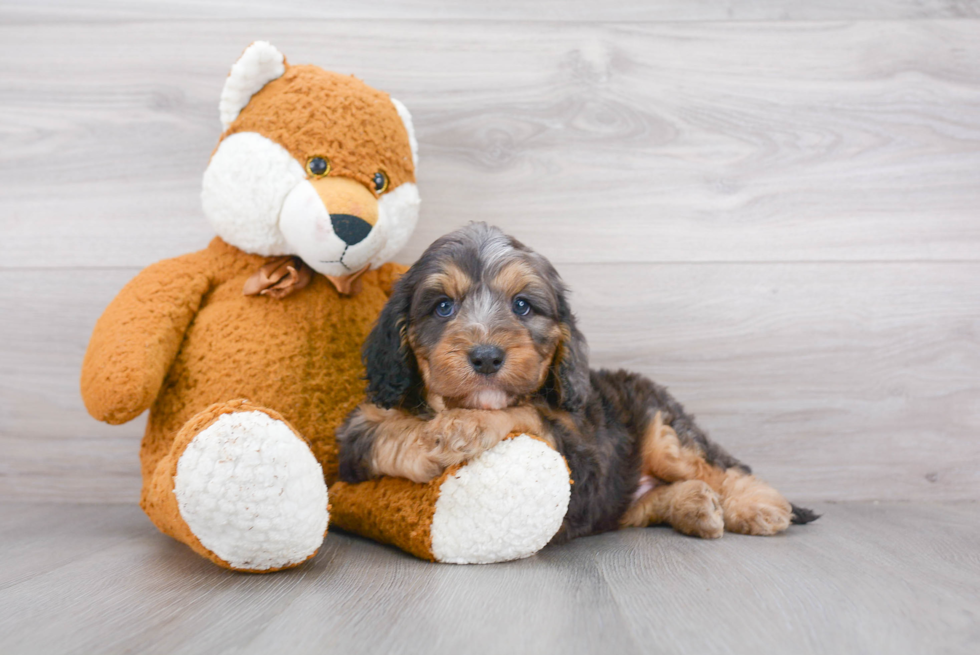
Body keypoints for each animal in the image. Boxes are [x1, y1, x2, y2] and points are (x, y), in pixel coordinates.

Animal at [336, 223, 820, 540]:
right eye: (442, 307)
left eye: (522, 305)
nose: (487, 357)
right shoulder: (355, 434)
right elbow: (384, 432)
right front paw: (427, 439)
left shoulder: (577, 447)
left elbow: (524, 410)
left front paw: (465, 426)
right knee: (638, 505)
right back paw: (695, 506)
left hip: (665, 432)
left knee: (719, 466)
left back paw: (758, 506)